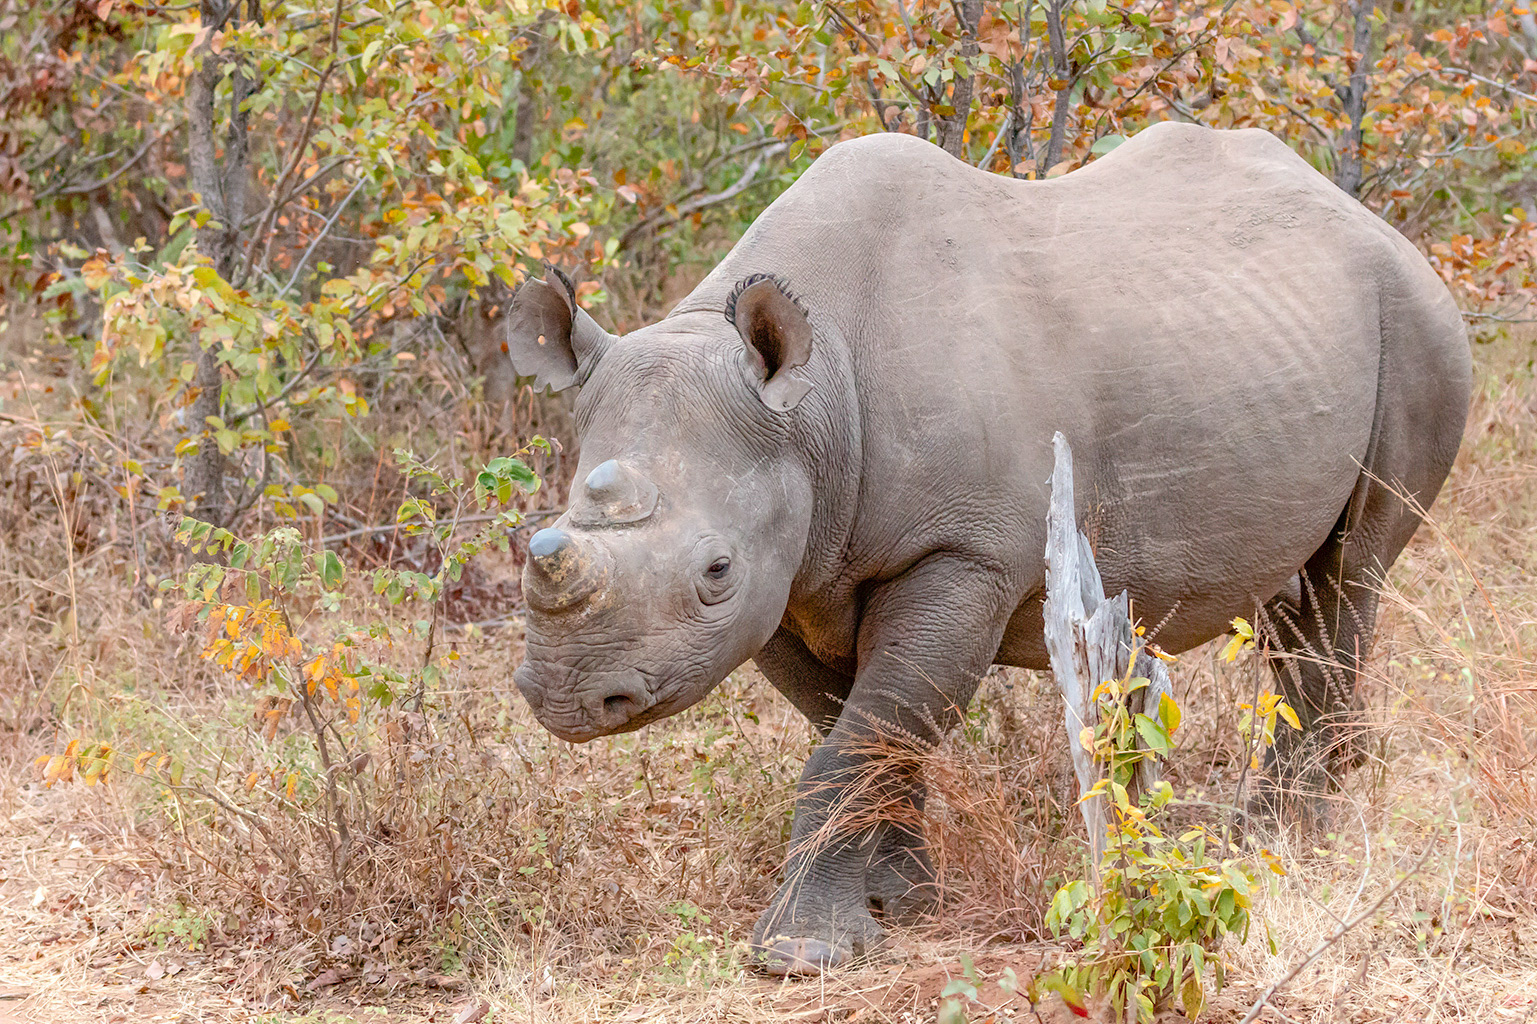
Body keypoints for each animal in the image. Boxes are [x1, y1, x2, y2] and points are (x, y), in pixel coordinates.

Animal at [505, 122, 1470, 975]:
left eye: (714, 571)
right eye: (538, 536)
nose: (569, 697)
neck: (815, 408)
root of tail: (1373, 223)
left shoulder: (959, 554)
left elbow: (863, 733)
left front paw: (801, 953)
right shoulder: (790, 577)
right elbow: (862, 729)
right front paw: (901, 904)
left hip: (1419, 324)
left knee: (1349, 574)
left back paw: (1281, 841)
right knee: (1290, 596)